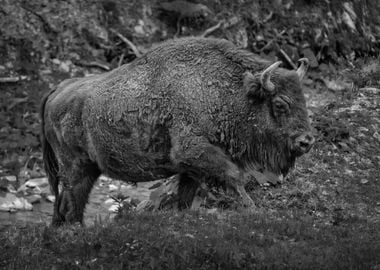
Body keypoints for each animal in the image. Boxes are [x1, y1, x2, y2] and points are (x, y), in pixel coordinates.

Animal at [40, 37, 314, 225]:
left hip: (87, 168)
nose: (306, 142)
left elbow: (186, 196)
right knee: (72, 203)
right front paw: (253, 209)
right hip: (75, 167)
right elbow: (235, 177)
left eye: (303, 99)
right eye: (280, 104)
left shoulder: (191, 169)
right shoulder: (194, 153)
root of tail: (57, 90)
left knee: (65, 204)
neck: (223, 91)